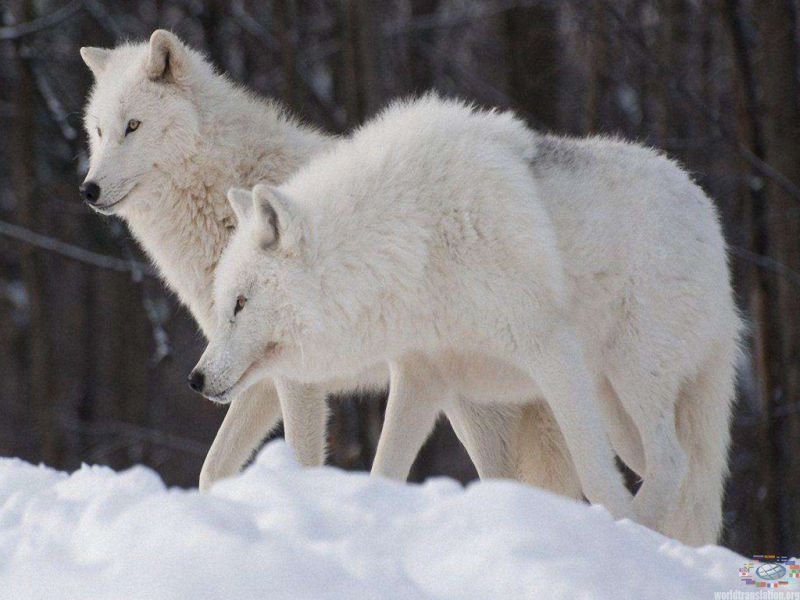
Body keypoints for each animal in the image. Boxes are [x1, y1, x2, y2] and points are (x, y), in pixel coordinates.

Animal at [78, 29, 580, 502]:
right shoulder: (252, 376)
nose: (89, 189)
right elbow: (211, 471)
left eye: (133, 126)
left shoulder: (295, 381)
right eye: (99, 131)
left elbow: (300, 462)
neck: (221, 195)